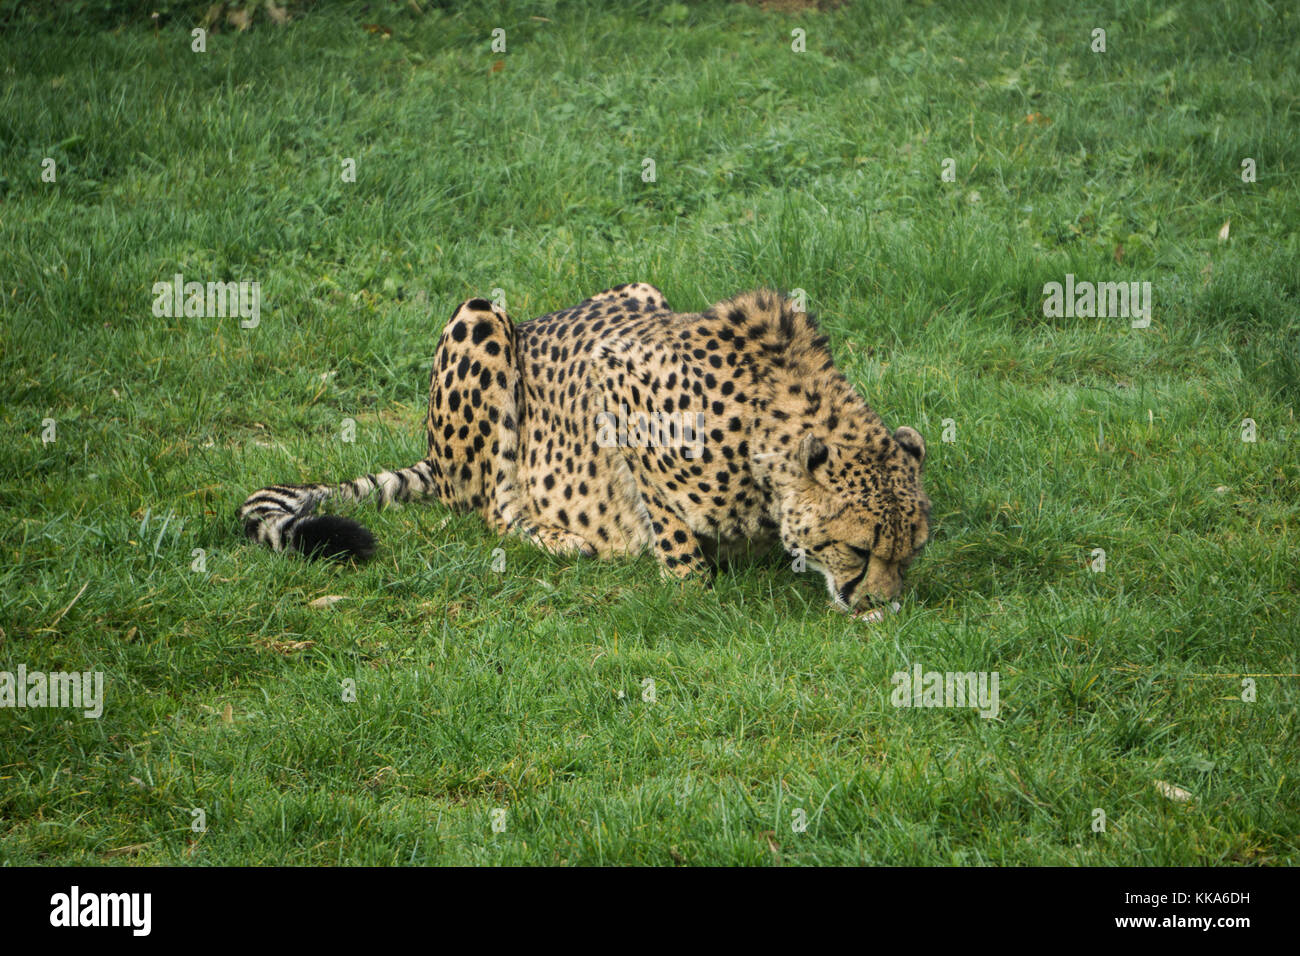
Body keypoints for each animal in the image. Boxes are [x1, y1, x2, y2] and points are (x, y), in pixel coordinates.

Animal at [239, 283, 930, 613]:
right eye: (858, 548)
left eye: (913, 551)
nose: (880, 606)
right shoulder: (618, 384)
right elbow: (667, 517)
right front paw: (686, 580)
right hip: (480, 319)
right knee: (493, 509)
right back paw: (564, 539)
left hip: (643, 289)